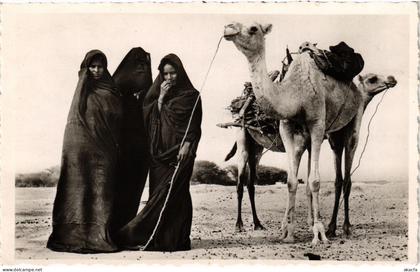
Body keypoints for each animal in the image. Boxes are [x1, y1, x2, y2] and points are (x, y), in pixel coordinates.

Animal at [225, 22, 392, 245]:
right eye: (373, 78)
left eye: (253, 28)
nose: (392, 79)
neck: (295, 93)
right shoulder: (288, 129)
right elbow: (295, 180)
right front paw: (293, 231)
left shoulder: (316, 129)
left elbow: (310, 181)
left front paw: (313, 230)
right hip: (244, 137)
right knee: (242, 181)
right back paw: (241, 225)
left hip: (344, 129)